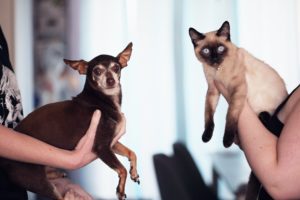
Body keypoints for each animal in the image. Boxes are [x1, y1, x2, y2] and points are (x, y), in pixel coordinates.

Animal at [0, 42, 138, 200]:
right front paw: (120, 189)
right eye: (97, 71)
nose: (110, 81)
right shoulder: (101, 147)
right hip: (36, 181)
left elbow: (131, 152)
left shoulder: (112, 143)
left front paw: (134, 172)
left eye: (116, 68)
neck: (103, 99)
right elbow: (122, 169)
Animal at [189, 20, 288, 148]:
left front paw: (227, 141)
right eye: (206, 51)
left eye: (220, 48)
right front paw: (206, 137)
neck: (218, 70)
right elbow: (208, 115)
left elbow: (230, 116)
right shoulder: (212, 90)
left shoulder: (237, 89)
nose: (215, 58)